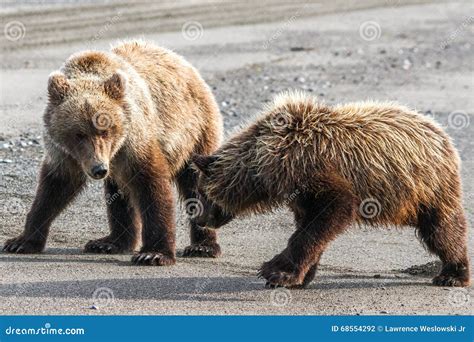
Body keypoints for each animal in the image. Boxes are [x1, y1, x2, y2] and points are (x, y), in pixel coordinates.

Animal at [2, 40, 224, 264]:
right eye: (78, 134)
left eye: (105, 129)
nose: (99, 168)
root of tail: (183, 63)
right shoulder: (64, 153)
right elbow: (53, 189)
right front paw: (21, 242)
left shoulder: (136, 140)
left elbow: (151, 185)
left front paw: (154, 253)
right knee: (118, 192)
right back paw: (109, 242)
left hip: (196, 132)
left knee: (195, 186)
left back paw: (202, 246)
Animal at [193, 91, 470, 288]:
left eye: (202, 195)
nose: (201, 220)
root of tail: (442, 134)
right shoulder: (300, 193)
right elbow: (311, 226)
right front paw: (300, 276)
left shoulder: (315, 169)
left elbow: (329, 215)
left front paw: (277, 271)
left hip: (430, 187)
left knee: (441, 229)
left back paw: (453, 274)